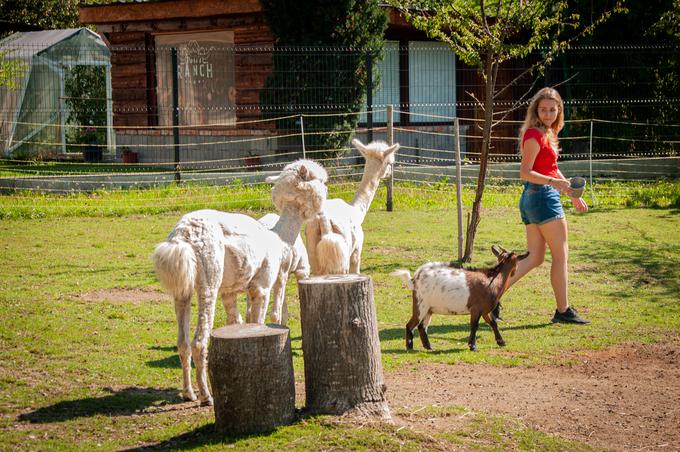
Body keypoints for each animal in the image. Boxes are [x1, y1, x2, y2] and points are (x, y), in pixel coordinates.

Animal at [390, 245, 528, 352]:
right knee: (410, 324)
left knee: (422, 327)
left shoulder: (484, 310)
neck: (492, 280)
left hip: (429, 309)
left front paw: (501, 342)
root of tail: (414, 279)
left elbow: (493, 323)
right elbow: (474, 325)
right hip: (421, 305)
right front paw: (472, 346)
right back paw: (409, 347)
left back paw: (429, 347)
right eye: (517, 261)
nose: (514, 272)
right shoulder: (476, 309)